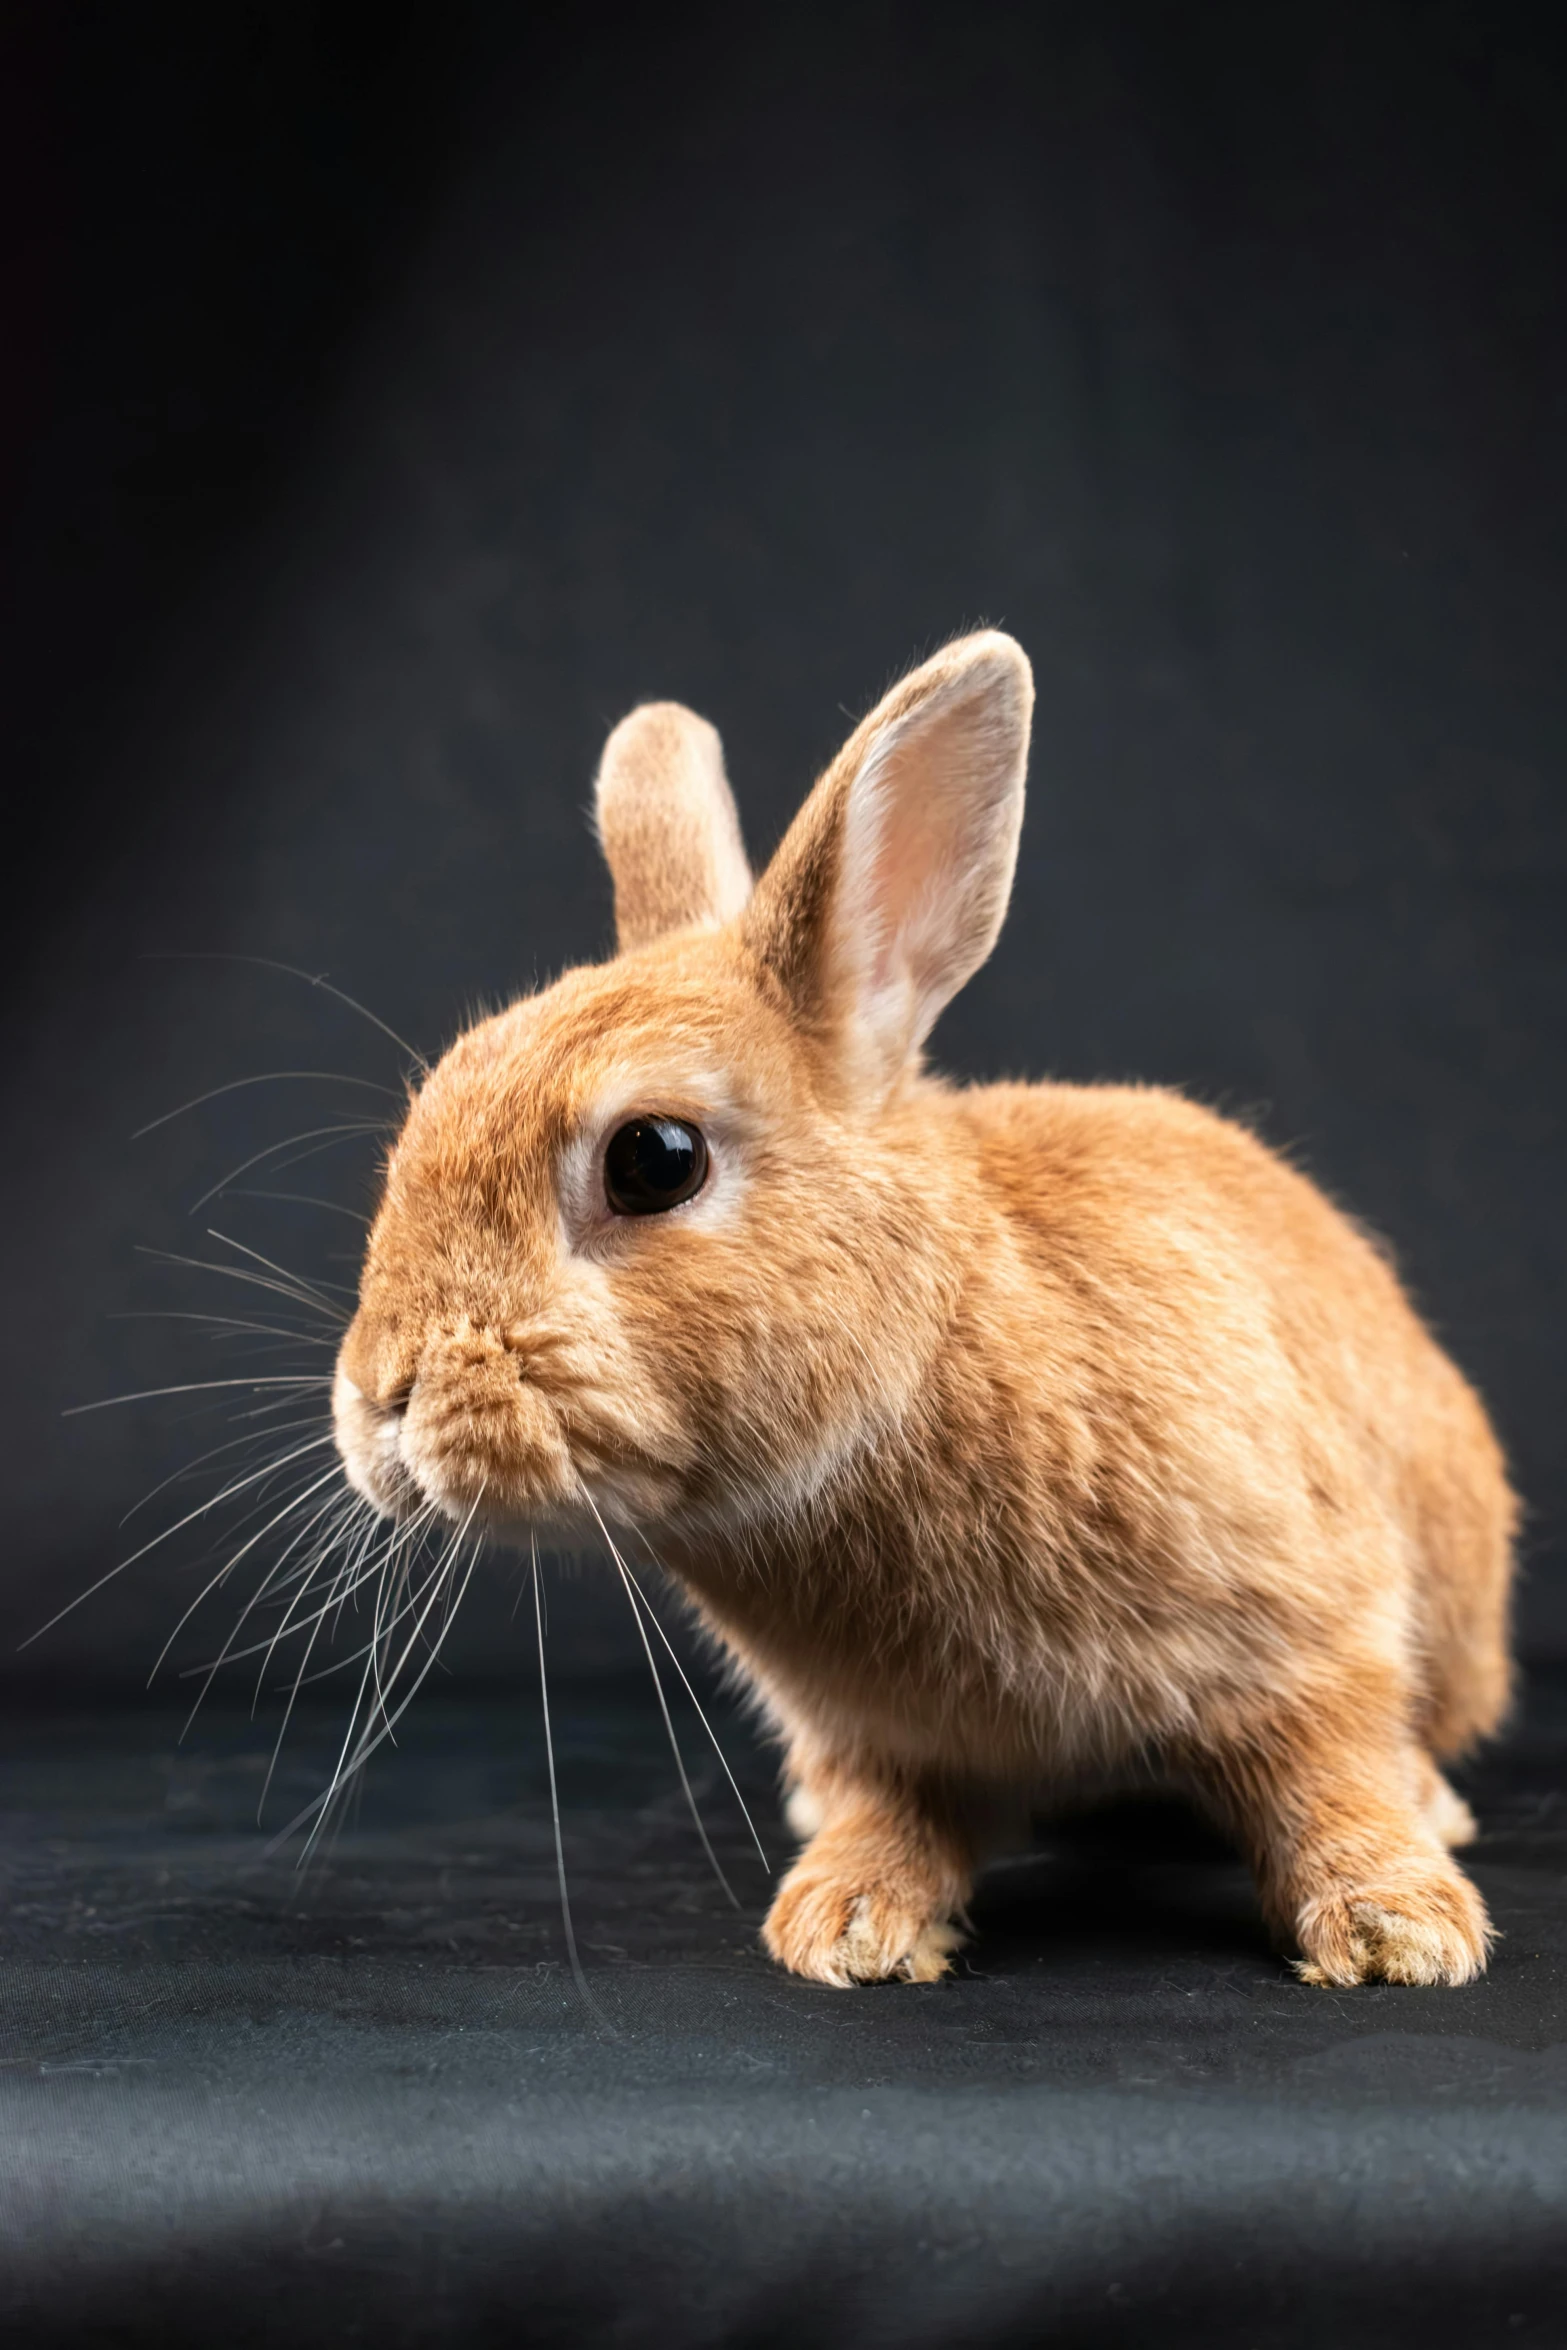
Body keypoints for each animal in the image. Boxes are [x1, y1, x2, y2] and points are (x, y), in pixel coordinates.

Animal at [333, 629, 1522, 1983]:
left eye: (654, 1159)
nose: (380, 1397)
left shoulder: (1307, 1619)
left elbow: (1325, 1765)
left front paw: (1396, 1930)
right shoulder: (879, 1734)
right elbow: (888, 1808)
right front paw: (848, 1923)